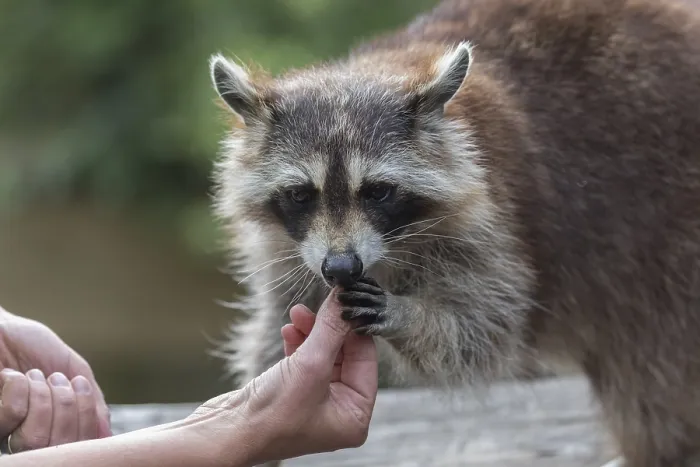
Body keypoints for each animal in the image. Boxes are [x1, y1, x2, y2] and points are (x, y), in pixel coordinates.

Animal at [208, 0, 700, 465]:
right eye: (300, 194)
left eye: (378, 191)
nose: (341, 267)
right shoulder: (287, 246)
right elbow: (276, 320)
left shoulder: (491, 211)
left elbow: (488, 320)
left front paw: (407, 314)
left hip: (668, 233)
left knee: (649, 363)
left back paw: (654, 449)